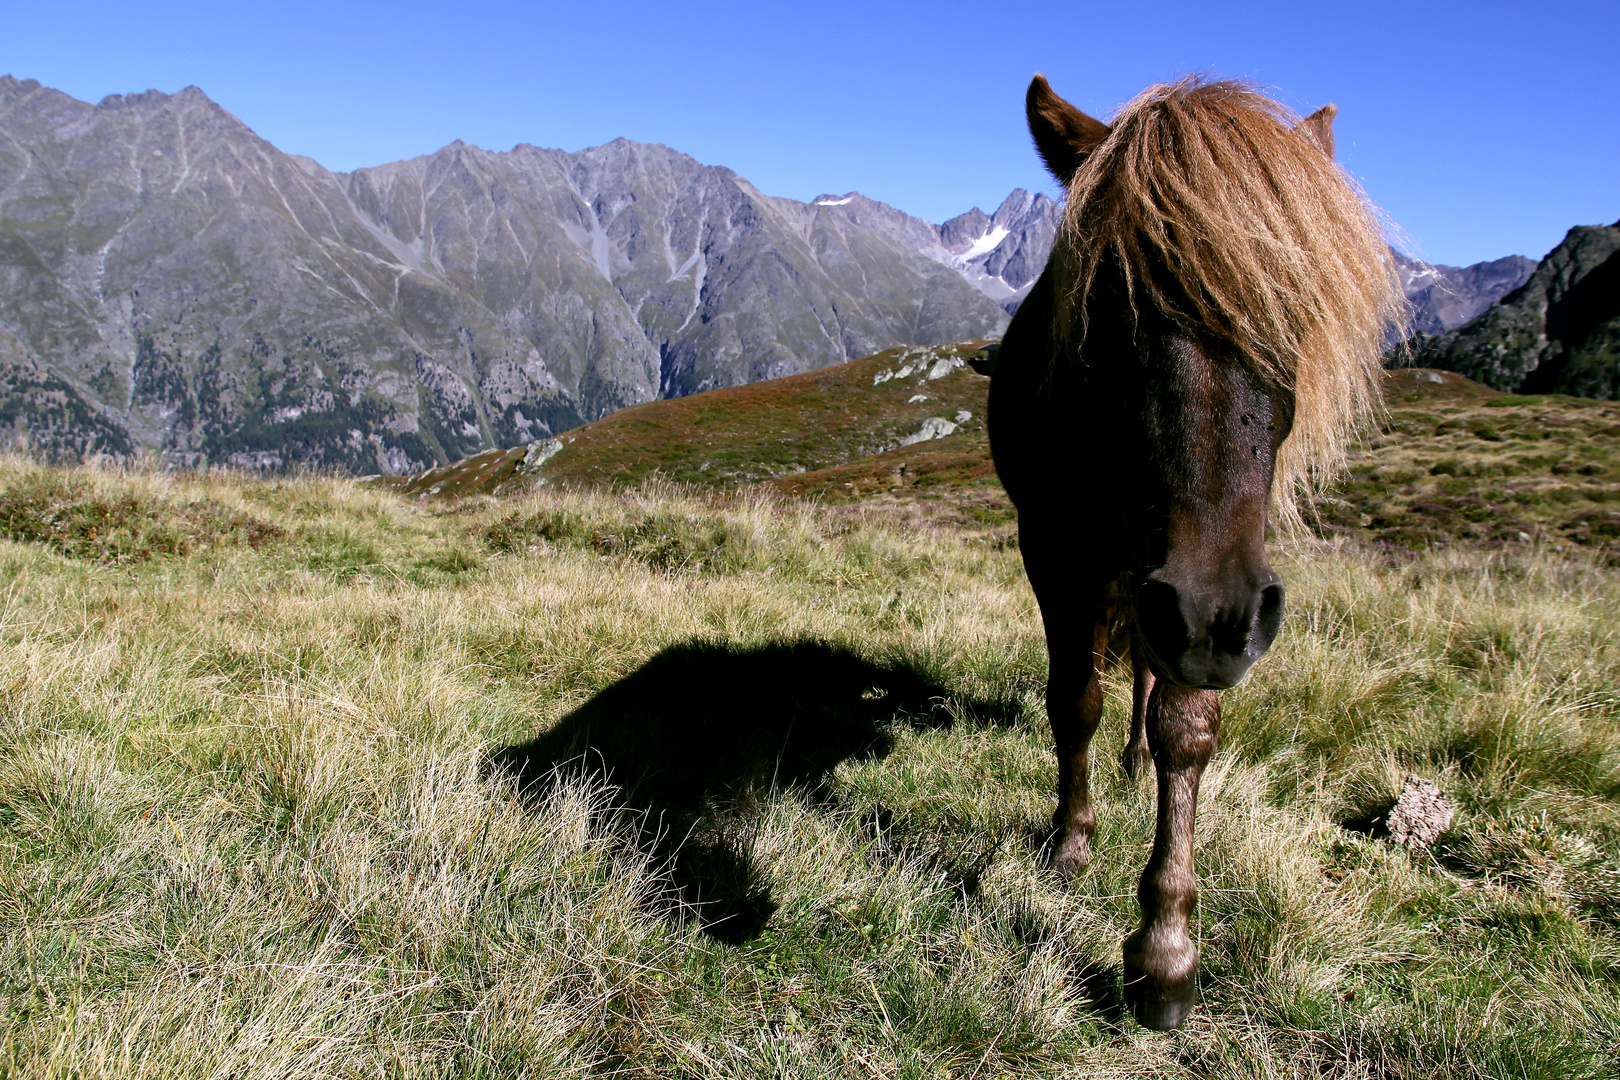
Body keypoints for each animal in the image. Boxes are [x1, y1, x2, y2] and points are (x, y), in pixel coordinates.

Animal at [984, 74, 1406, 1029]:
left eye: (1295, 308)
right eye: (1106, 308)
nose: (1213, 620)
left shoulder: (1208, 583)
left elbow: (1186, 729)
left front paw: (1165, 951)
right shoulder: (1059, 550)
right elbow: (1075, 699)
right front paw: (1070, 844)